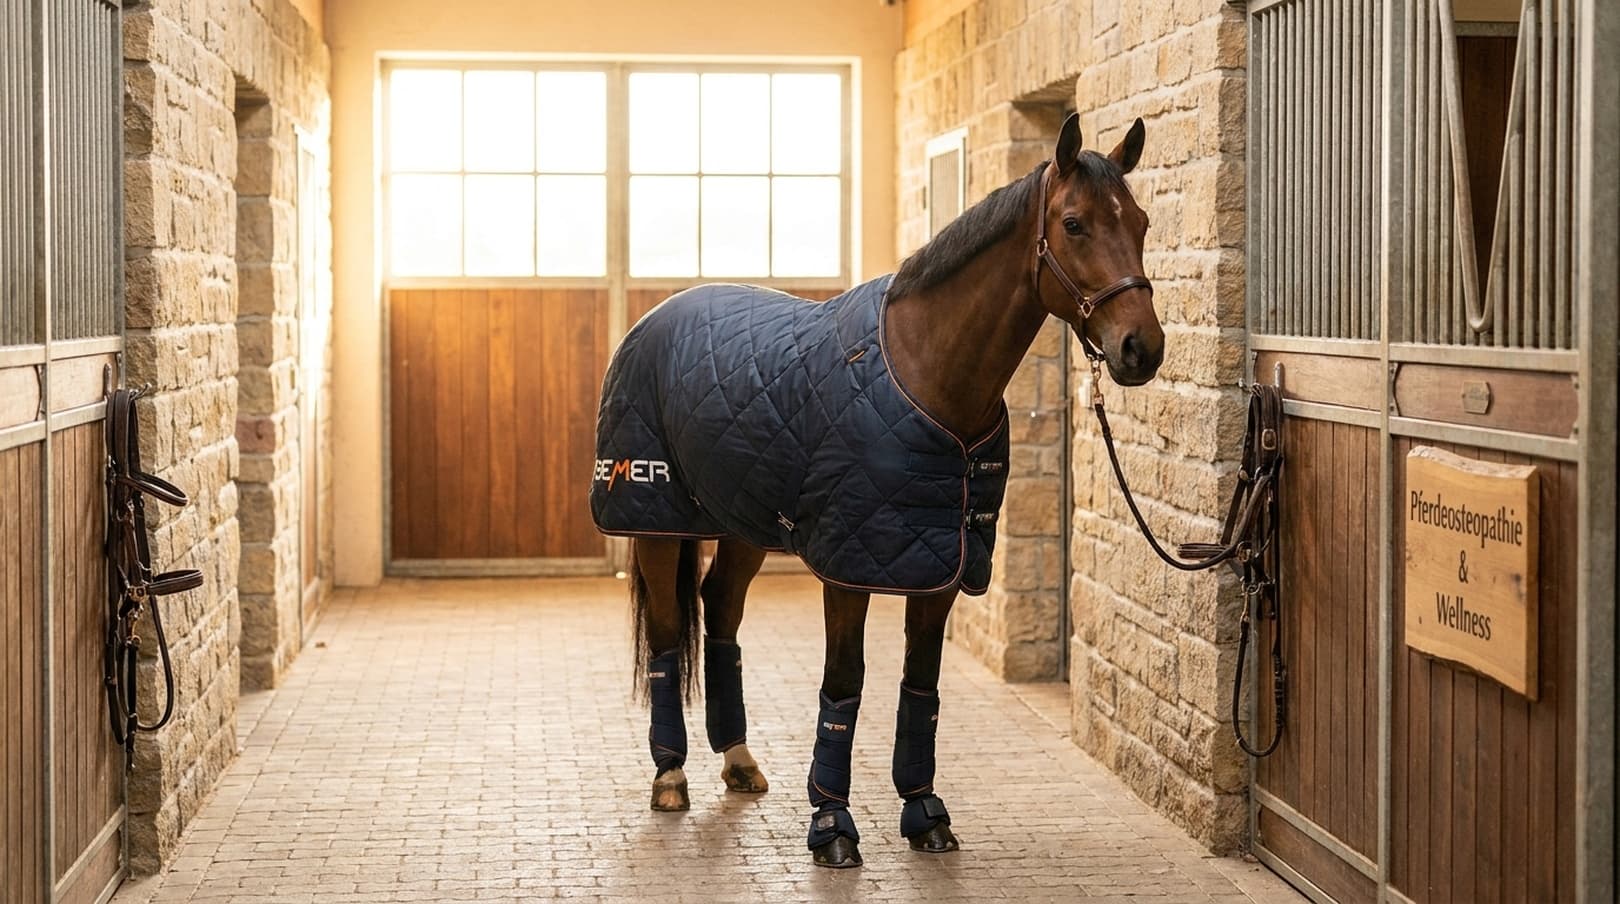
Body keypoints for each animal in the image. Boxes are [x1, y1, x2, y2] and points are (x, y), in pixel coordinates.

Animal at [590, 112, 1164, 868]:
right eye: (1073, 224)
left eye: (1143, 222)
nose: (1142, 348)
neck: (928, 377)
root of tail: (652, 321)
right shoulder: (850, 564)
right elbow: (845, 682)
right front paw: (832, 825)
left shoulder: (942, 562)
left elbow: (921, 686)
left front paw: (924, 814)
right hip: (656, 520)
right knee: (663, 635)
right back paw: (671, 776)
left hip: (745, 523)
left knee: (721, 612)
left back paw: (739, 760)